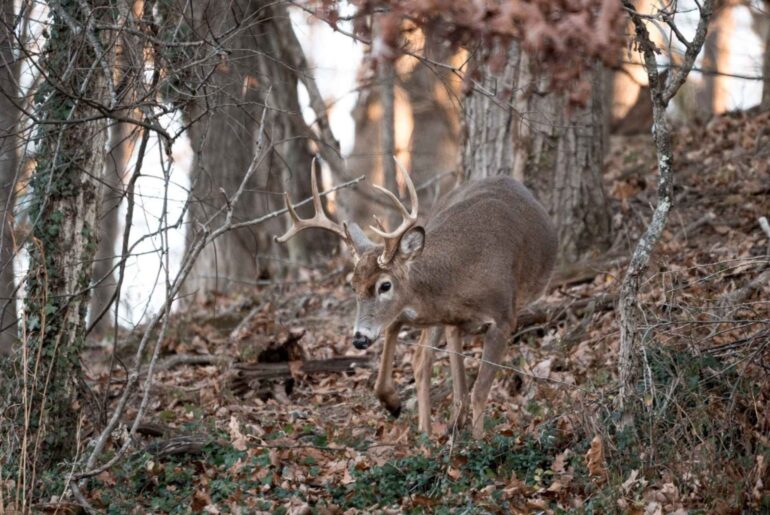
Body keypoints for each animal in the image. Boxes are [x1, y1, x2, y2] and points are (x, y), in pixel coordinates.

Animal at [275, 158, 558, 438]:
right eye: (353, 287)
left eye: (385, 285)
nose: (359, 338)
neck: (464, 277)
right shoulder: (451, 319)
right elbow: (459, 383)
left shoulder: (503, 318)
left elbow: (477, 390)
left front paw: (479, 441)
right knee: (418, 355)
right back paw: (418, 422)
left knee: (424, 357)